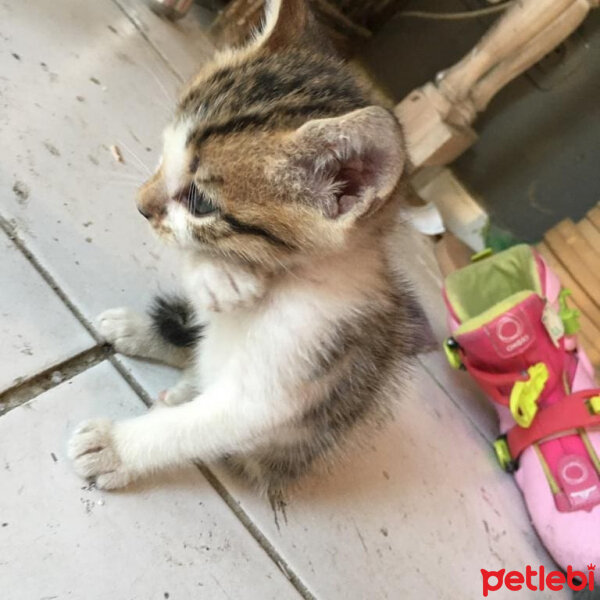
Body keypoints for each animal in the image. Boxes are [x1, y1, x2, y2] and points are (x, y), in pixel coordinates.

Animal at [68, 0, 434, 500]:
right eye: (163, 152)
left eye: (200, 202)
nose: (140, 206)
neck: (285, 276)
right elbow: (196, 267)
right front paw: (219, 275)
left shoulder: (289, 374)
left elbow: (197, 426)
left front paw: (118, 447)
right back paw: (144, 332)